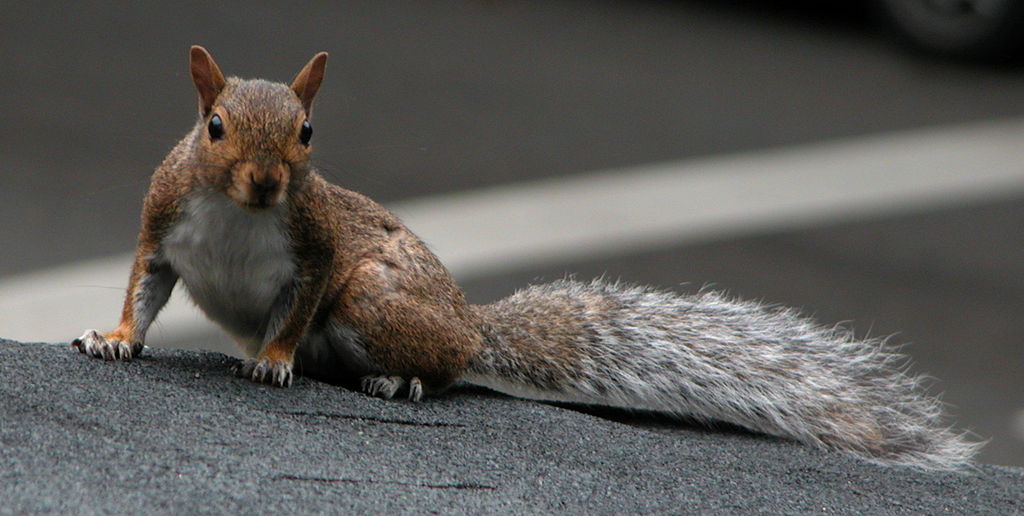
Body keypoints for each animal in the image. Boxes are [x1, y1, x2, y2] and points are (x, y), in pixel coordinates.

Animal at [68, 47, 978, 470]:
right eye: (213, 127)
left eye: (308, 134)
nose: (265, 183)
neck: (236, 213)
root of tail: (473, 326)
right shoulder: (162, 228)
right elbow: (144, 290)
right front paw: (112, 339)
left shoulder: (319, 250)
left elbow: (295, 308)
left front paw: (273, 359)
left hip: (375, 302)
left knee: (439, 366)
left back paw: (399, 380)